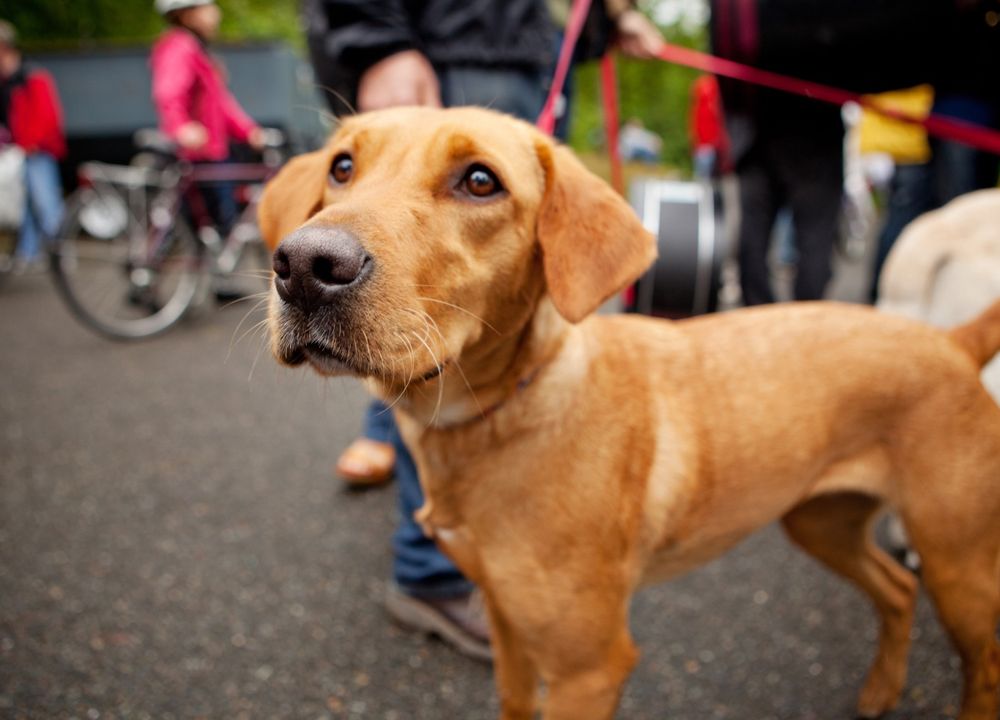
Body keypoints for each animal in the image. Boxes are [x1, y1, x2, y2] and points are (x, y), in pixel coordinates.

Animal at [260, 107, 1000, 720]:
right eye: (342, 167)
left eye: (479, 181)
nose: (304, 264)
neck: (498, 415)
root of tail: (951, 340)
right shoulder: (506, 623)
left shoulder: (590, 670)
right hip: (821, 520)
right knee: (897, 590)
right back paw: (878, 692)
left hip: (958, 562)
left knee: (982, 659)